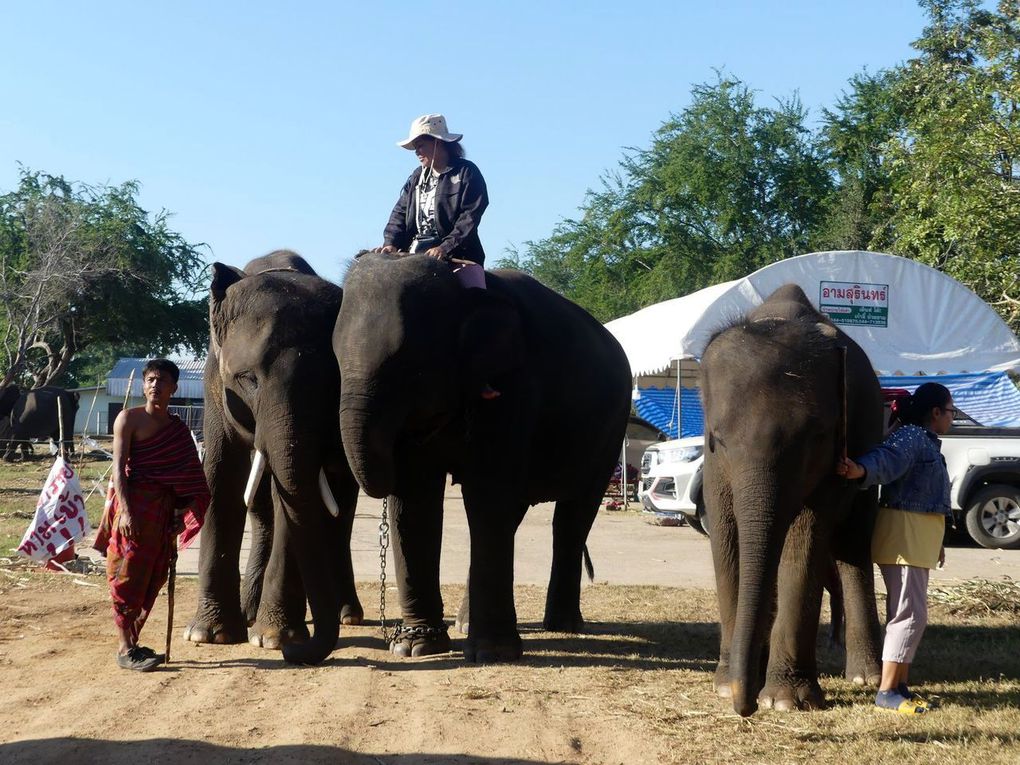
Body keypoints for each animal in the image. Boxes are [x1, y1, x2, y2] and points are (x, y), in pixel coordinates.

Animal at [332, 251, 628, 665]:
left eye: (411, 365)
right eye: (335, 358)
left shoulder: (512, 388)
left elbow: (486, 495)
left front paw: (492, 652)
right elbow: (415, 500)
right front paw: (415, 646)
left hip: (611, 428)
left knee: (572, 517)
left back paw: (563, 625)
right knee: (518, 514)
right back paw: (464, 625)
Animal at [701, 283, 885, 718]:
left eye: (814, 436)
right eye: (719, 439)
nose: (746, 706)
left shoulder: (837, 453)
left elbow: (805, 539)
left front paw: (785, 702)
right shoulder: (712, 466)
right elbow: (726, 536)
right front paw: (725, 686)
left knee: (853, 545)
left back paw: (865, 677)